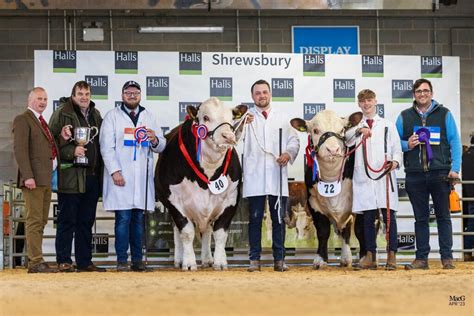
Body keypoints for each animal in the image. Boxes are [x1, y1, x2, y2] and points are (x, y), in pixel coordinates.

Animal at [156, 97, 248, 270]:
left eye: (231, 118)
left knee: (207, 230)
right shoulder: (175, 203)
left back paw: (207, 258)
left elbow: (220, 233)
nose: (228, 136)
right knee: (177, 231)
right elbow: (186, 232)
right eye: (205, 117)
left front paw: (220, 262)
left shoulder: (230, 200)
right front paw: (189, 262)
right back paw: (179, 259)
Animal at [288, 110, 362, 268]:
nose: (333, 150)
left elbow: (361, 229)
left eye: (342, 130)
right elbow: (323, 231)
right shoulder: (314, 204)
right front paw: (320, 259)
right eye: (315, 130)